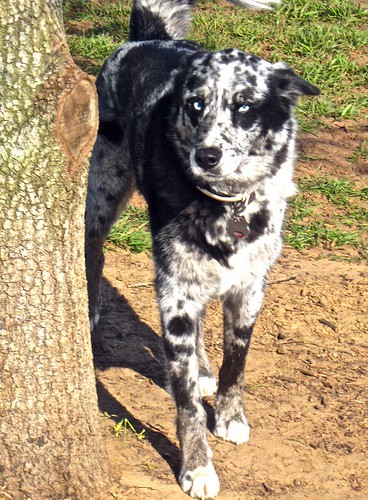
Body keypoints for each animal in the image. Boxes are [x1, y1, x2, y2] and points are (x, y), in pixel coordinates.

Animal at [85, 0, 320, 496]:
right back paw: (92, 309)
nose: (206, 156)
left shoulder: (248, 288)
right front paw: (196, 468)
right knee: (93, 250)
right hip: (105, 189)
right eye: (195, 104)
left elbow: (237, 361)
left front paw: (230, 416)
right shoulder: (174, 289)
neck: (228, 203)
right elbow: (186, 403)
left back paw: (204, 367)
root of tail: (148, 35)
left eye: (244, 105)